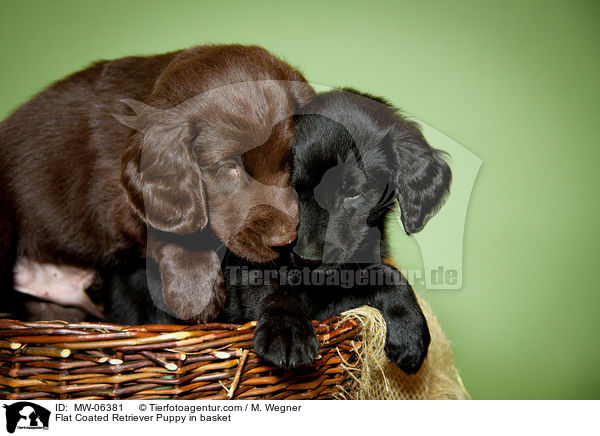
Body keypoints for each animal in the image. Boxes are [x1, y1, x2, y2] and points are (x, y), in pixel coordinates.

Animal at [0, 45, 310, 320]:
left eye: (288, 161)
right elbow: (174, 229)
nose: (286, 241)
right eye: (229, 168)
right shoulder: (115, 203)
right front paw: (194, 292)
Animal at [104, 89, 450, 374]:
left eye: (354, 193)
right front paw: (288, 331)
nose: (307, 259)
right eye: (290, 189)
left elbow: (387, 274)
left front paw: (410, 333)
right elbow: (269, 284)